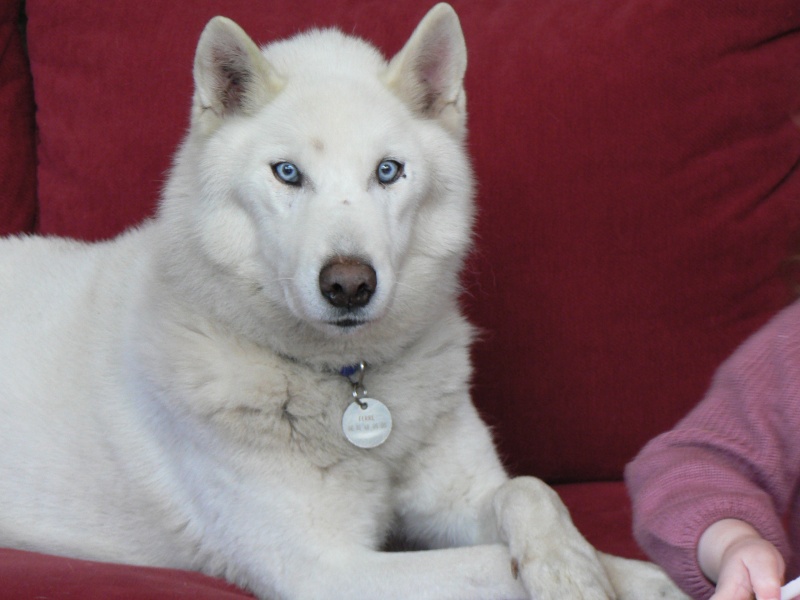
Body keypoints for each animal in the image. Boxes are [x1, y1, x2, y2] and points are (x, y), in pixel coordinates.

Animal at [0, 4, 688, 600]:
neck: (352, 381)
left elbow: (531, 489)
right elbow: (491, 565)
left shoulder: (458, 499)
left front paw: (602, 568)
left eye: (388, 171)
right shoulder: (328, 571)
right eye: (287, 173)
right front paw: (584, 581)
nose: (350, 284)